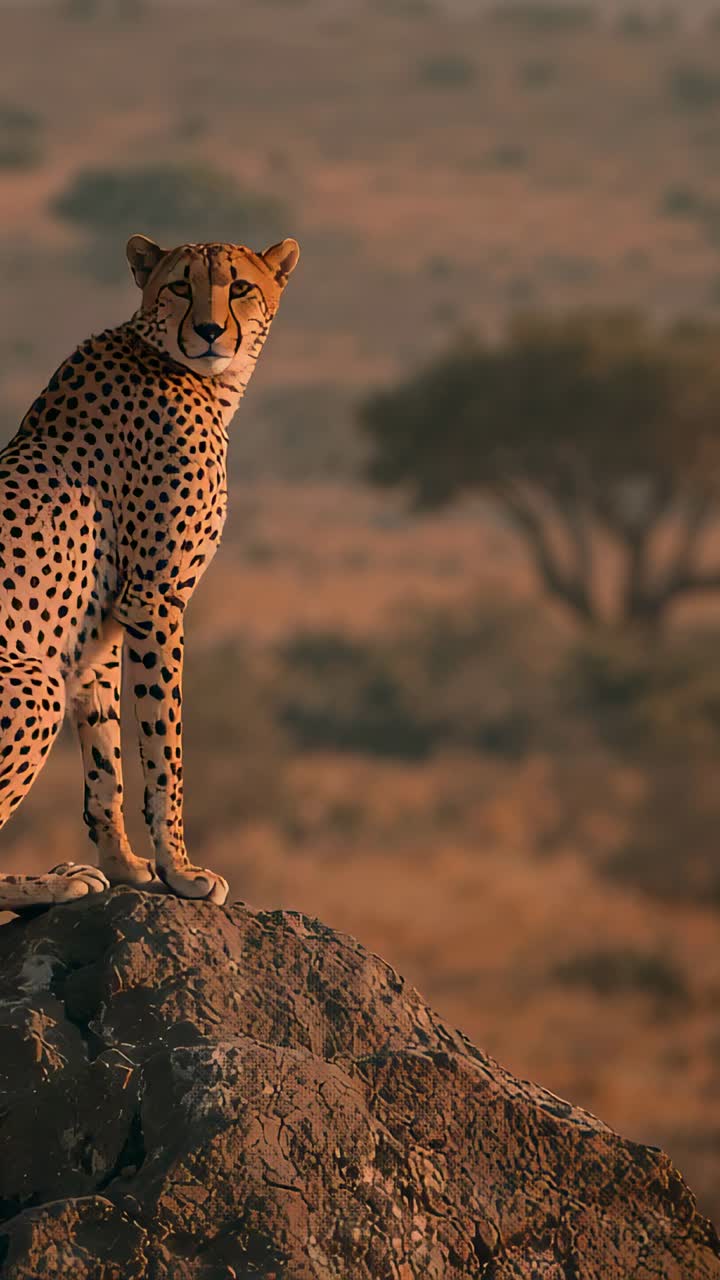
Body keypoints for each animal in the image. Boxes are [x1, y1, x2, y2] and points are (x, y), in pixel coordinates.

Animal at [0, 231, 299, 912]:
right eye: (181, 285)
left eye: (240, 286)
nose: (211, 331)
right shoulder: (157, 600)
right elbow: (165, 748)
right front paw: (181, 870)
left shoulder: (102, 627)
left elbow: (105, 760)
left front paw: (128, 866)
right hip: (33, 683)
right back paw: (52, 883)